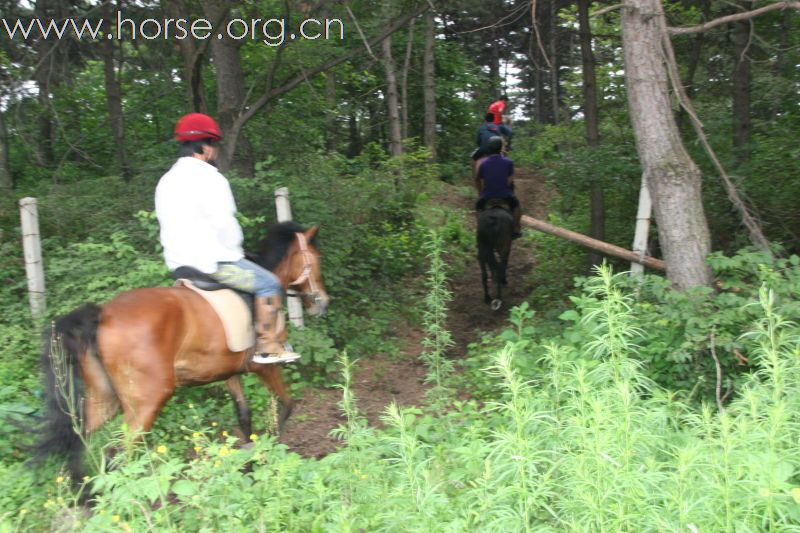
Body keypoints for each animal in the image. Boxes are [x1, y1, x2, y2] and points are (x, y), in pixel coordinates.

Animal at [32, 220, 328, 478]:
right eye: (316, 259)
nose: (322, 302)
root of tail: (103, 314)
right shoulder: (263, 366)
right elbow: (286, 406)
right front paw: (264, 454)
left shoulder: (231, 372)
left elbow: (244, 416)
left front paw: (249, 464)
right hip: (146, 402)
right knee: (118, 453)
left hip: (104, 399)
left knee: (79, 440)